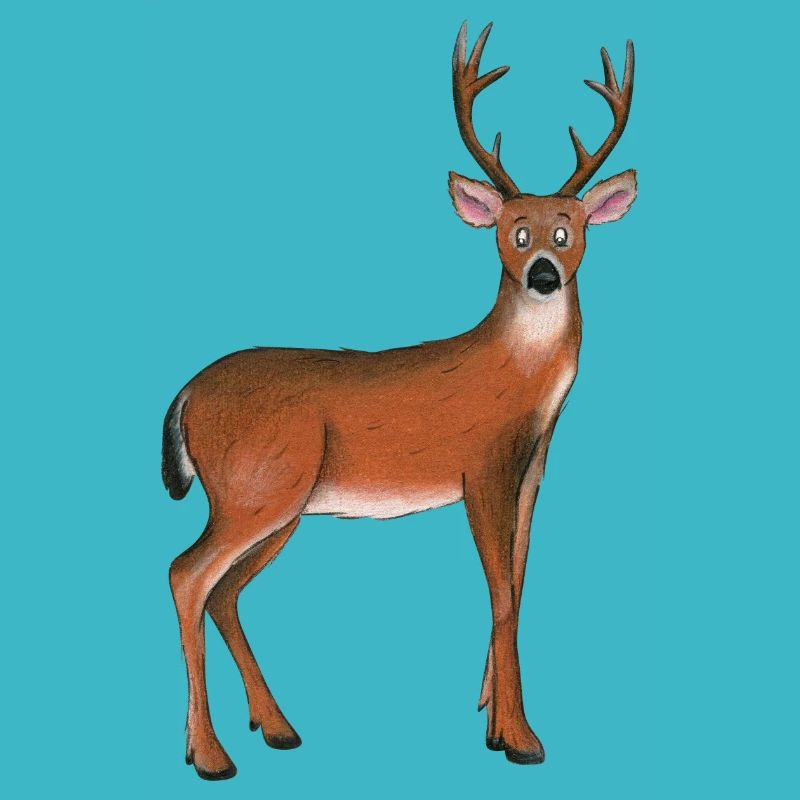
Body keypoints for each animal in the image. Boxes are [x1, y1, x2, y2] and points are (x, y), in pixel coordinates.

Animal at [163, 21, 637, 780]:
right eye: (516, 231)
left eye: (568, 231)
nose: (542, 274)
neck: (517, 380)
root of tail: (184, 395)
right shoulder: (481, 468)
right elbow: (501, 596)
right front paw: (522, 739)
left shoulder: (531, 473)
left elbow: (520, 585)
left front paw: (493, 725)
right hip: (255, 488)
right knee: (187, 575)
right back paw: (210, 755)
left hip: (278, 503)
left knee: (225, 591)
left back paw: (274, 728)